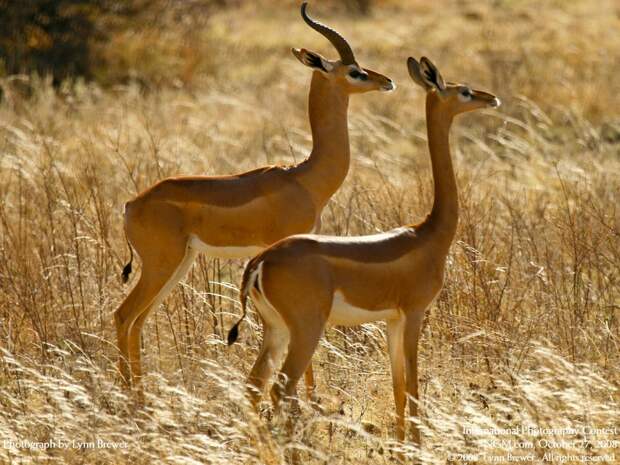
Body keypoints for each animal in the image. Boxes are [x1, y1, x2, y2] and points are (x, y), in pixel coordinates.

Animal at [114, 2, 394, 392]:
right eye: (355, 71)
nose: (387, 81)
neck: (304, 178)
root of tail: (132, 204)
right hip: (161, 264)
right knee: (123, 315)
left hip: (179, 263)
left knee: (138, 320)